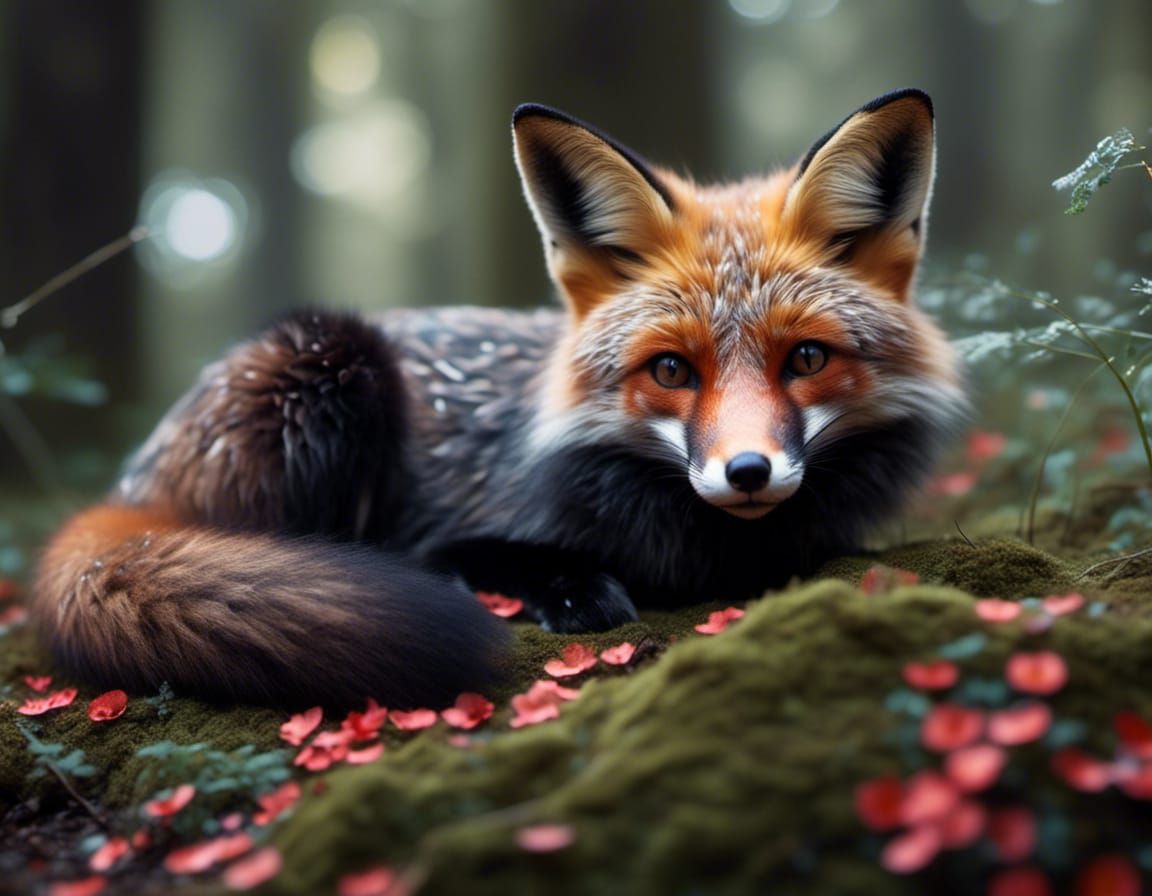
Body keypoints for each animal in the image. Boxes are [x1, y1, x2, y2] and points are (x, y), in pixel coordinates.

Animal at [32, 89, 965, 709]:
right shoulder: (454, 524)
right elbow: (495, 554)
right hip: (331, 361)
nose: (746, 472)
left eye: (805, 358)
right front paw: (571, 588)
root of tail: (136, 478)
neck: (710, 552)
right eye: (671, 372)